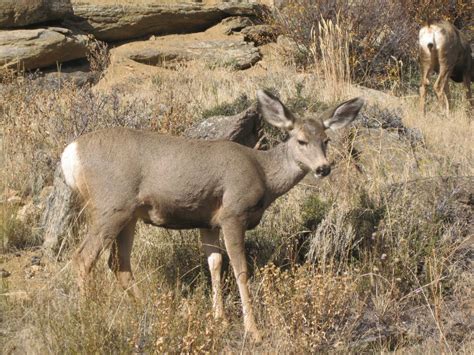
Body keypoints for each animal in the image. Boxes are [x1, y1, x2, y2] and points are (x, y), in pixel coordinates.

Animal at [59, 90, 362, 344]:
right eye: (301, 140)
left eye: (326, 140)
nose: (323, 168)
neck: (263, 174)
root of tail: (70, 155)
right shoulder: (233, 213)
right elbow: (240, 269)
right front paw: (253, 330)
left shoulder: (208, 222)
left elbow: (214, 263)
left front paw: (220, 318)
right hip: (110, 205)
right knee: (84, 258)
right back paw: (86, 316)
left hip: (128, 214)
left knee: (118, 263)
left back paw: (150, 311)